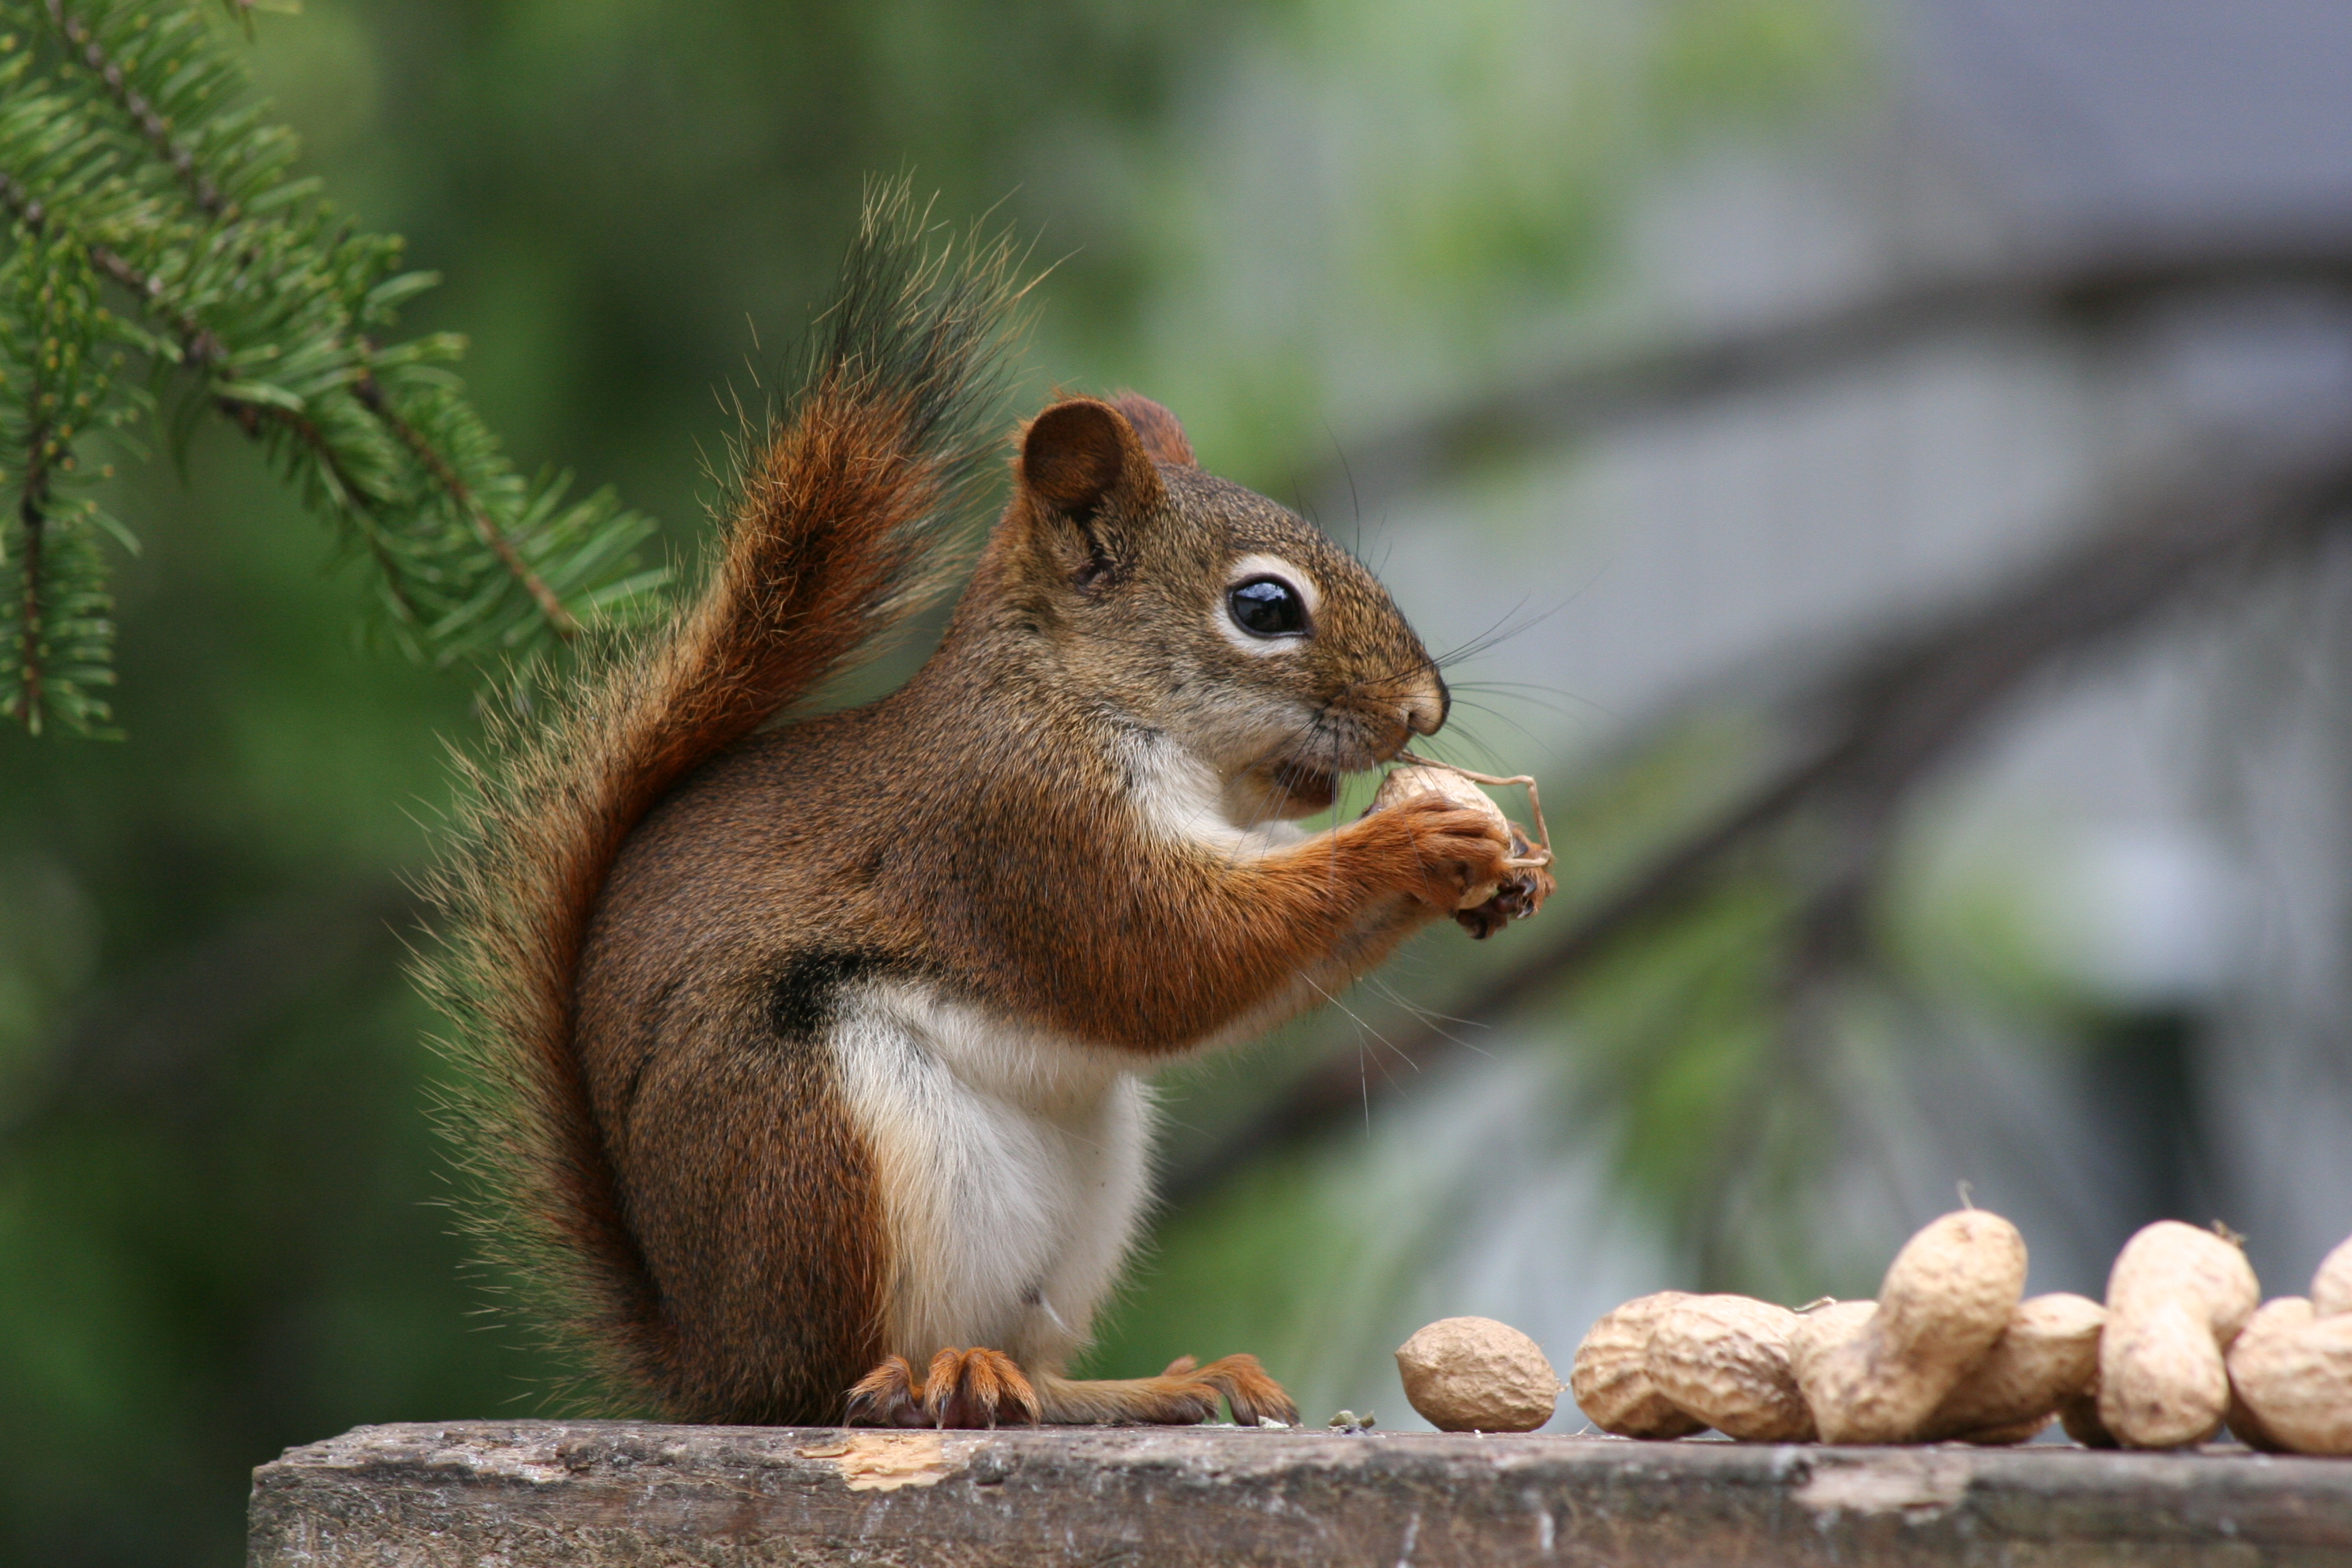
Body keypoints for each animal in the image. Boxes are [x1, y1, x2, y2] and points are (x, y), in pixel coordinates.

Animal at [425, 190, 1552, 1429]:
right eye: (1264, 607)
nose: (1425, 707)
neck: (1086, 695)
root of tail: (710, 1362)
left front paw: (1492, 873)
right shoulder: (1020, 825)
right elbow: (1170, 955)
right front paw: (1415, 838)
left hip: (1085, 1193)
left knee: (1035, 1373)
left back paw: (1146, 1383)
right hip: (816, 1144)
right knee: (831, 1383)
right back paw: (921, 1378)